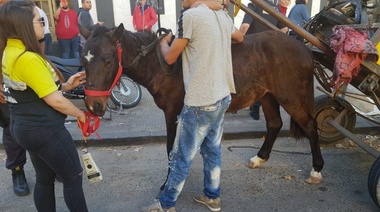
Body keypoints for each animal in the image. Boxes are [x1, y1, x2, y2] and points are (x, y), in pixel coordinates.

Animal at [79, 22, 324, 187]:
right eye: (83, 59)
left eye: (108, 59)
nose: (94, 105)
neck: (163, 64)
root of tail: (304, 48)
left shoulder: (172, 113)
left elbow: (171, 149)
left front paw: (169, 182)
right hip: (268, 96)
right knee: (274, 124)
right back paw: (259, 157)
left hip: (292, 98)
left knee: (311, 127)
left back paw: (316, 170)